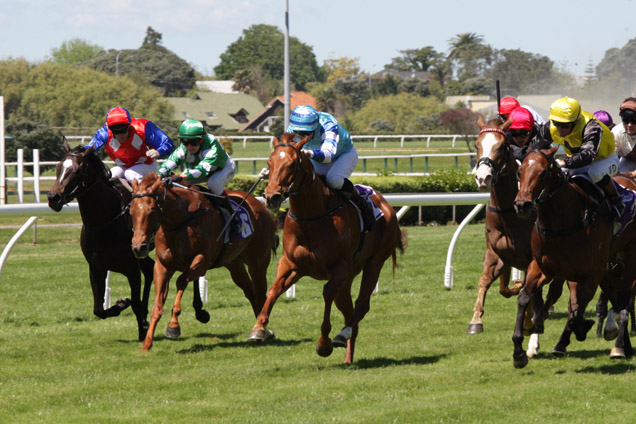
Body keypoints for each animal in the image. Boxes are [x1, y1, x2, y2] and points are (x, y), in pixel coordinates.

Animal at [46, 139, 153, 342]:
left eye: (78, 170)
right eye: (58, 166)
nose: (53, 198)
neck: (105, 220)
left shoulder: (131, 267)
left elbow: (135, 302)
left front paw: (143, 329)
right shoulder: (96, 267)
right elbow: (99, 310)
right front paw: (121, 304)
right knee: (150, 270)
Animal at [130, 172, 278, 352]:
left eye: (152, 211)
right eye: (130, 211)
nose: (139, 247)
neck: (181, 221)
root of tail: (260, 205)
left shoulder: (201, 261)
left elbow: (181, 281)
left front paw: (173, 326)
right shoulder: (162, 266)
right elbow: (157, 303)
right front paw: (147, 343)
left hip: (258, 261)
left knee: (260, 291)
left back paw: (262, 330)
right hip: (233, 263)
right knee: (249, 291)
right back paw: (260, 331)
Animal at [246, 133, 404, 364]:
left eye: (292, 164)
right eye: (269, 163)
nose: (271, 196)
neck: (311, 217)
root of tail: (385, 205)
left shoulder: (339, 266)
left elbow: (327, 292)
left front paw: (324, 343)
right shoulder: (291, 264)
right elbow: (273, 290)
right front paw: (258, 328)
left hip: (374, 263)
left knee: (360, 305)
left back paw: (342, 335)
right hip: (348, 277)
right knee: (348, 308)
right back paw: (348, 354)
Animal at [468, 116, 560, 352]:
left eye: (501, 146)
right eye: (477, 145)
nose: (483, 177)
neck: (508, 212)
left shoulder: (533, 259)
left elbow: (532, 295)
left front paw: (529, 327)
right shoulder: (495, 254)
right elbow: (489, 283)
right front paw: (475, 321)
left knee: (552, 293)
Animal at [512, 147, 636, 366]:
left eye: (542, 173)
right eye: (520, 172)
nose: (522, 205)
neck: (562, 222)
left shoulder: (591, 273)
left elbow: (577, 313)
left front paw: (582, 329)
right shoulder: (542, 267)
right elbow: (525, 298)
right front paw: (519, 352)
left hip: (628, 259)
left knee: (624, 302)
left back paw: (619, 345)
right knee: (616, 299)